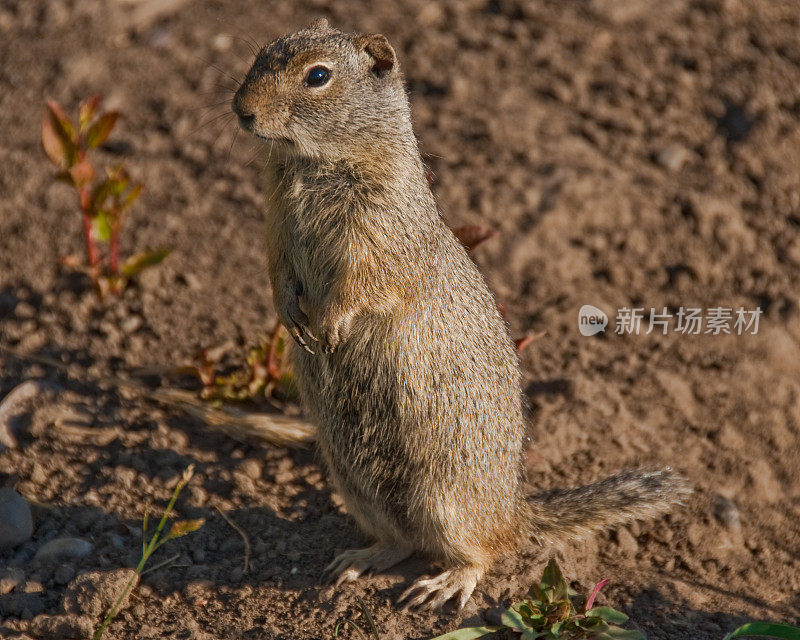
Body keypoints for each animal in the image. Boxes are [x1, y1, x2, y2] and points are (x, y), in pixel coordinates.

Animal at [231, 21, 688, 608]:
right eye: (261, 55)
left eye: (317, 76)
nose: (242, 110)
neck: (311, 165)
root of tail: (514, 512)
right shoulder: (275, 224)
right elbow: (278, 273)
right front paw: (291, 316)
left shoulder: (378, 230)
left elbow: (360, 282)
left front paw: (331, 324)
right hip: (356, 484)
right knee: (400, 540)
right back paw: (359, 559)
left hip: (445, 499)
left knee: (482, 553)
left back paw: (446, 582)